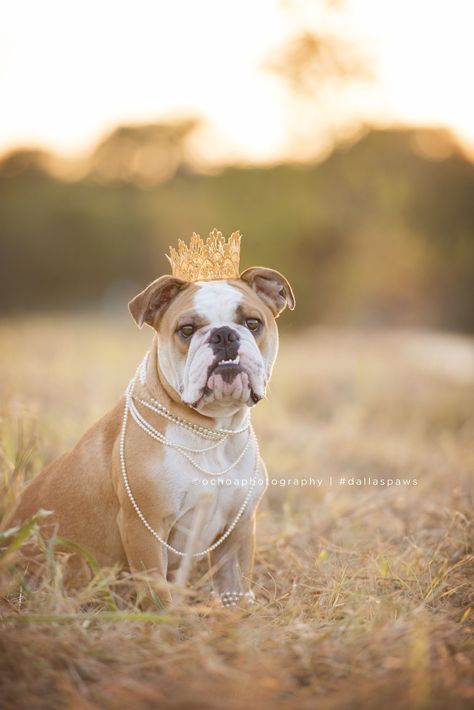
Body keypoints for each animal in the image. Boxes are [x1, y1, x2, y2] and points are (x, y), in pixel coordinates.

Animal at [7, 232, 294, 608]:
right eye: (187, 329)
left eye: (252, 323)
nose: (224, 335)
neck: (209, 432)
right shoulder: (145, 528)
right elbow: (157, 589)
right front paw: (167, 619)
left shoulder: (239, 530)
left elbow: (234, 588)